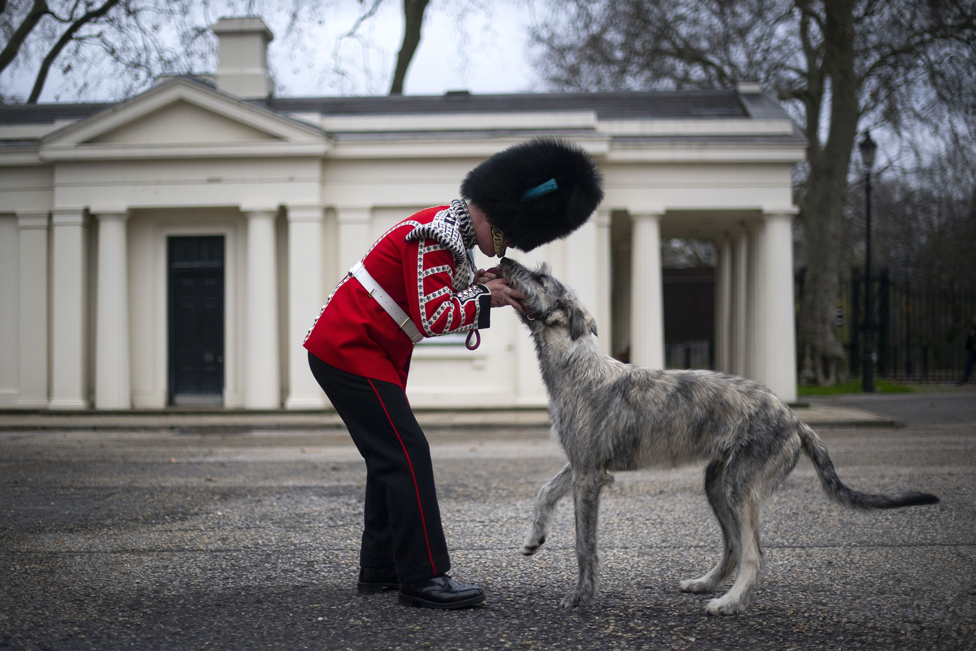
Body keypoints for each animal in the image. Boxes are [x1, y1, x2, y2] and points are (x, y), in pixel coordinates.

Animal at [500, 256, 940, 616]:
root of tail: (794, 419)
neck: (577, 365)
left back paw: (728, 602)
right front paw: (535, 537)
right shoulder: (580, 464)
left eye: (540, 277)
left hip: (740, 487)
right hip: (718, 483)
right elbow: (545, 490)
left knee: (754, 553)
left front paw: (581, 595)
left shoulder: (590, 474)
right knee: (733, 546)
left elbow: (584, 544)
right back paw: (707, 583)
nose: (504, 259)